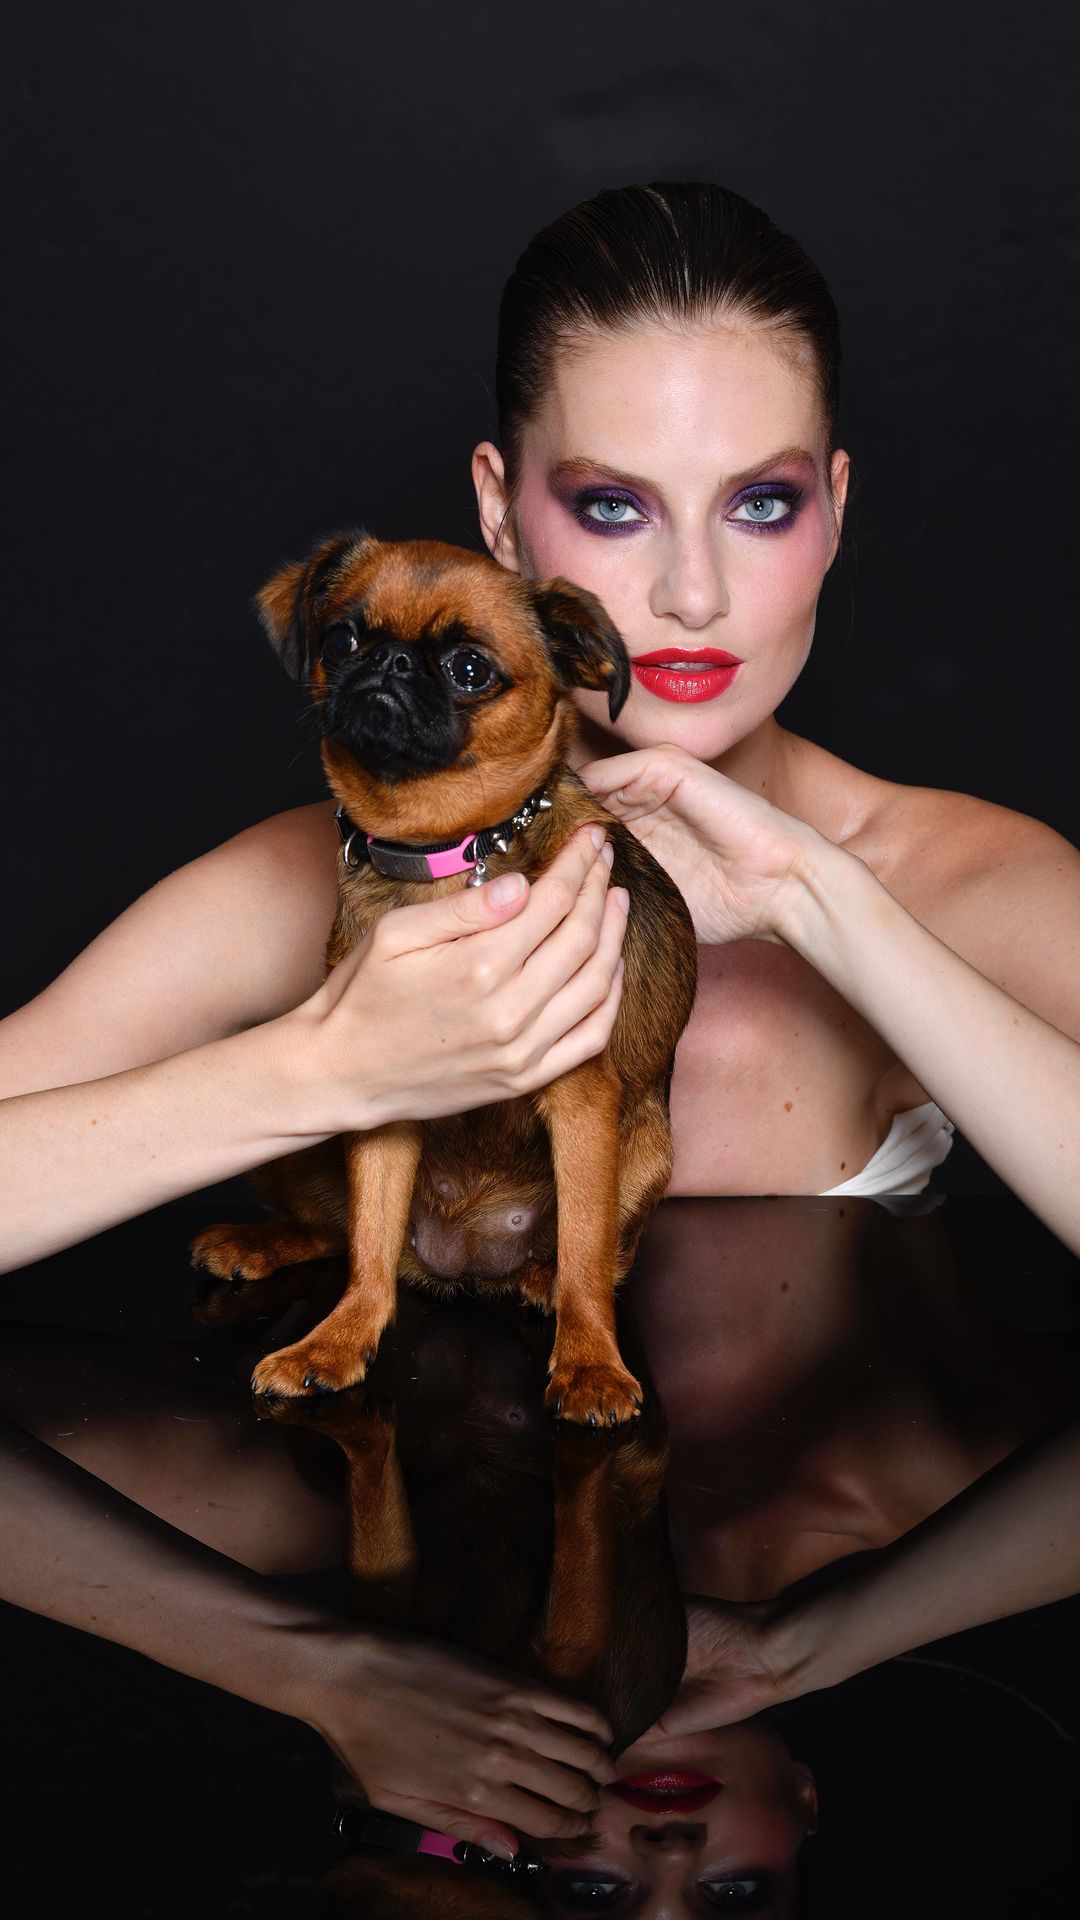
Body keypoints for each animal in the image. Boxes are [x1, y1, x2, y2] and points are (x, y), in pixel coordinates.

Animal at [189, 533, 697, 1425]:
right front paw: (336, 1342)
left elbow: (587, 1249)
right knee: (346, 1234)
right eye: (342, 640)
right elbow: (369, 1245)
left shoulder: (583, 1102)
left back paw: (540, 1281)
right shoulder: (379, 1096)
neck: (440, 853)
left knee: (593, 1254)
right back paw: (256, 1243)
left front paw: (591, 1362)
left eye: (468, 668)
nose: (388, 662)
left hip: (645, 1149)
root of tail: (465, 1262)